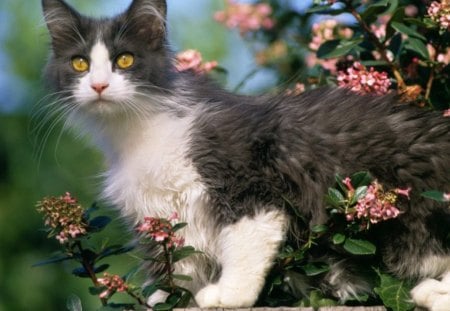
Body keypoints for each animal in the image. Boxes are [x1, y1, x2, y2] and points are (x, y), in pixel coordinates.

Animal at [40, 0, 448, 310]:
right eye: (79, 63)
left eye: (124, 60)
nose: (99, 85)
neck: (134, 132)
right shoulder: (164, 215)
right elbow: (177, 266)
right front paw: (166, 299)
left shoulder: (248, 179)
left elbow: (243, 244)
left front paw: (229, 294)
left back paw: (432, 292)